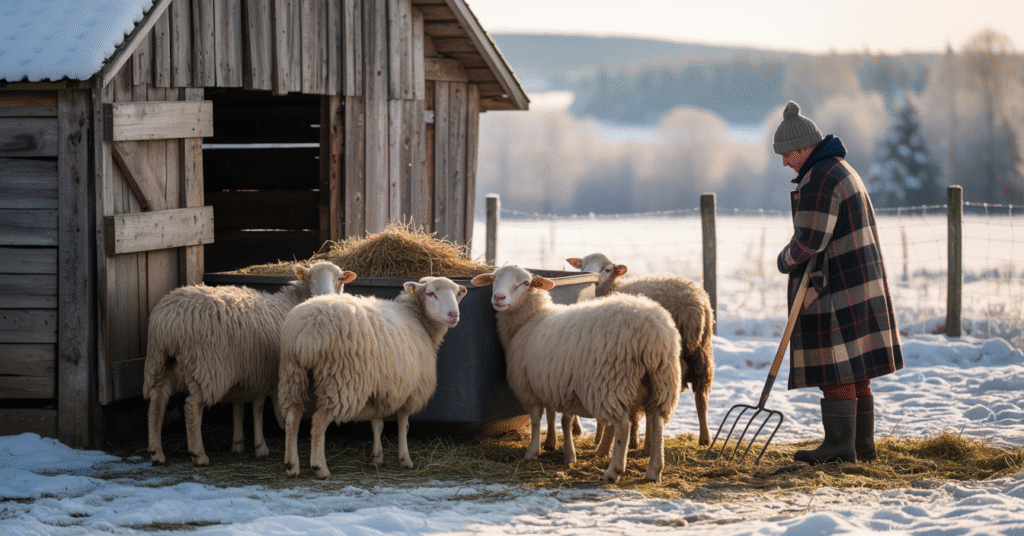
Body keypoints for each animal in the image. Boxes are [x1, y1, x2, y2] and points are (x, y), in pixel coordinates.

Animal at [144, 261, 356, 466]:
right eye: (310, 276)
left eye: (340, 279)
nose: (325, 296)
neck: (293, 303)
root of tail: (171, 322)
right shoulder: (263, 373)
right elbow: (258, 407)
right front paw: (260, 447)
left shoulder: (246, 370)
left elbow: (239, 405)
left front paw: (238, 444)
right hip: (206, 367)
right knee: (192, 407)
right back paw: (199, 455)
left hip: (160, 360)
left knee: (157, 400)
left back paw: (156, 452)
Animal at [279, 276, 468, 479]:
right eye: (431, 293)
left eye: (456, 293)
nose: (453, 314)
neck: (418, 319)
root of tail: (307, 331)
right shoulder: (410, 390)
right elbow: (403, 424)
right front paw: (405, 459)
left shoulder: (380, 388)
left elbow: (377, 424)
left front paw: (377, 458)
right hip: (341, 381)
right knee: (319, 421)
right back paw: (320, 468)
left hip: (293, 375)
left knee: (292, 418)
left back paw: (291, 466)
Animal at [471, 265, 682, 483]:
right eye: (494, 278)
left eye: (525, 283)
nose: (499, 298)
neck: (530, 319)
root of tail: (652, 333)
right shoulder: (563, 386)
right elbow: (565, 420)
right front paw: (569, 455)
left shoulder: (528, 387)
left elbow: (536, 420)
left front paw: (531, 453)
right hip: (661, 381)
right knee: (657, 421)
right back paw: (653, 472)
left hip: (611, 383)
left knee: (623, 425)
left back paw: (613, 471)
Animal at [567, 253, 715, 448]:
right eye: (582, 266)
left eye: (607, 269)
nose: (593, 280)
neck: (613, 287)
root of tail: (694, 306)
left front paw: (630, 440)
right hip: (701, 351)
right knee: (701, 396)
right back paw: (704, 438)